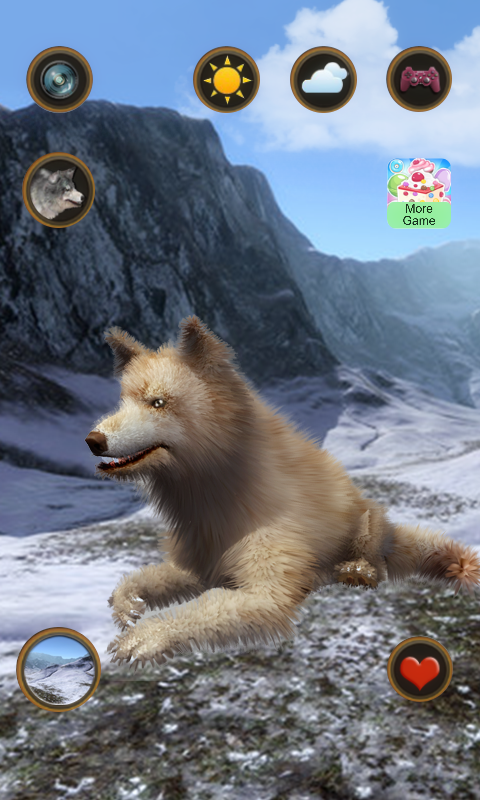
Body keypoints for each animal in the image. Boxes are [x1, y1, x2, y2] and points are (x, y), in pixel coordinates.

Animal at [85, 317, 480, 670]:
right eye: (122, 402)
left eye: (158, 403)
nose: (92, 440)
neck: (214, 499)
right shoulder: (199, 565)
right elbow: (141, 579)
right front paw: (128, 604)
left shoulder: (265, 593)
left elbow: (199, 609)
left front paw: (144, 637)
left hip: (368, 519)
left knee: (376, 559)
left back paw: (356, 570)